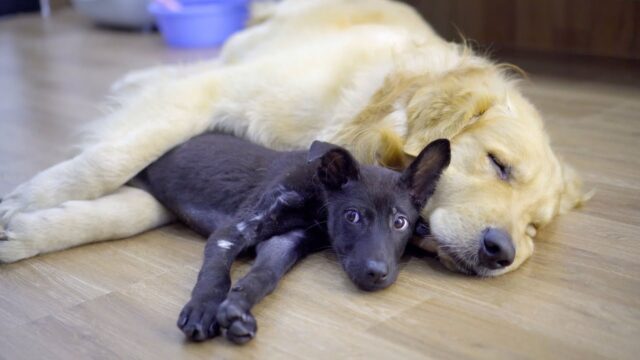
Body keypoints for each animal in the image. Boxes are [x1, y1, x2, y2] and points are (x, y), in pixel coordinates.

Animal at [135, 134, 450, 344]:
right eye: (352, 216)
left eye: (400, 222)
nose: (377, 274)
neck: (316, 199)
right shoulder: (234, 229)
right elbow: (216, 273)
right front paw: (204, 307)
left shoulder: (285, 241)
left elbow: (263, 276)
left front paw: (237, 309)